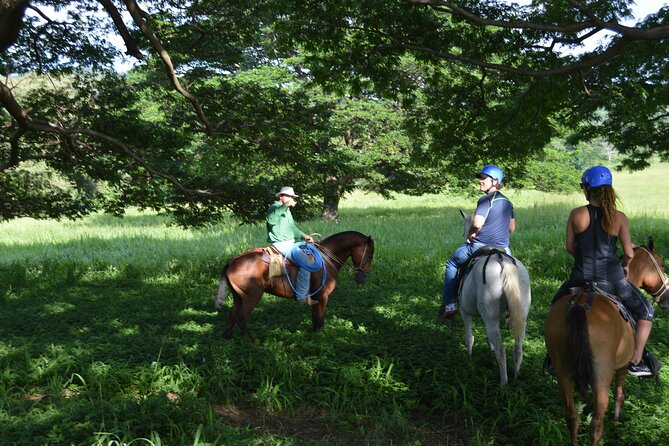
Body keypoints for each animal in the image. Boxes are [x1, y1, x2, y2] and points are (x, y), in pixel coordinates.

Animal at [214, 232, 374, 340]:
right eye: (370, 255)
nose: (362, 278)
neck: (326, 259)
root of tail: (233, 262)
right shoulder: (323, 297)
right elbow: (320, 321)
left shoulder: (316, 298)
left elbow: (315, 320)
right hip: (252, 296)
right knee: (241, 318)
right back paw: (252, 343)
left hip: (238, 297)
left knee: (231, 316)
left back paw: (228, 339)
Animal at [456, 211, 528, 386]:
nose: (465, 237)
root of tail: (501, 261)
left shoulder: (464, 312)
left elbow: (469, 338)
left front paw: (469, 359)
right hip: (522, 315)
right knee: (518, 347)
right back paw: (516, 375)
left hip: (491, 317)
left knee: (502, 349)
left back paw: (504, 383)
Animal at [544, 235, 664, 444]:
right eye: (663, 264)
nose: (667, 298)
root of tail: (581, 304)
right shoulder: (623, 365)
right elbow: (619, 393)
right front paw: (617, 420)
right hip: (601, 377)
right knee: (596, 424)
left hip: (563, 373)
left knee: (572, 417)